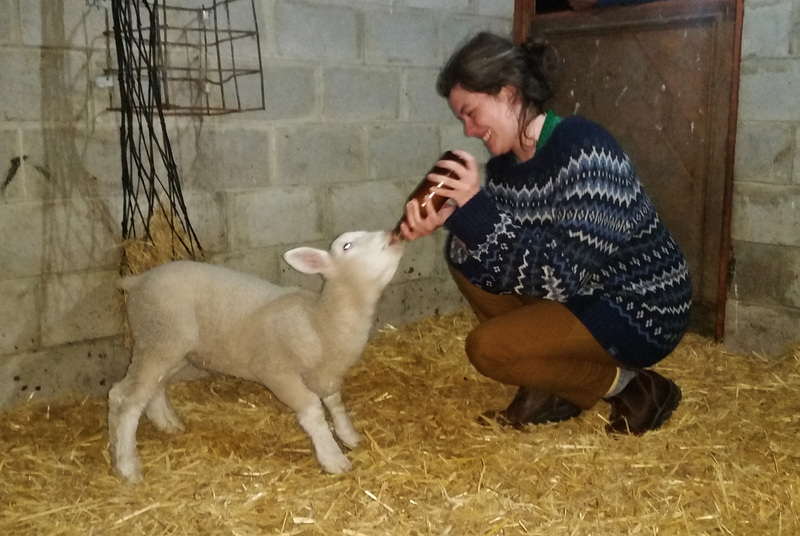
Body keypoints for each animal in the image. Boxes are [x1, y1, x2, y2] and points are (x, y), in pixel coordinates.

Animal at [109, 229, 404, 482]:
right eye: (346, 246)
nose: (392, 234)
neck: (319, 321)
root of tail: (138, 279)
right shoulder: (276, 372)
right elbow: (313, 410)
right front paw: (332, 457)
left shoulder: (326, 374)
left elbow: (335, 403)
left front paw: (349, 435)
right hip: (159, 338)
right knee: (127, 398)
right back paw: (127, 465)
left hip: (170, 347)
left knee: (143, 389)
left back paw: (161, 426)